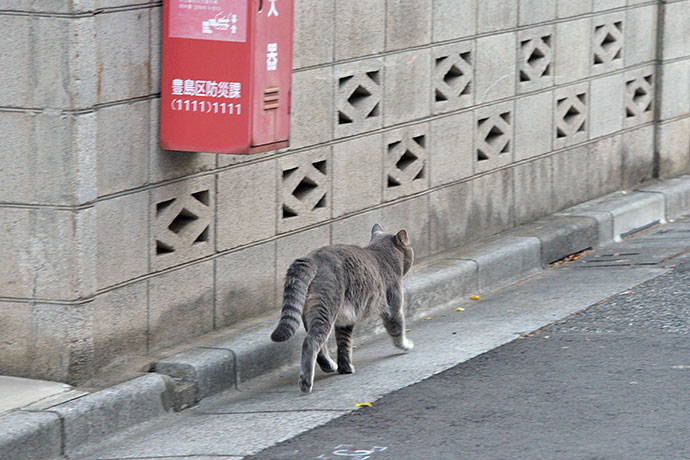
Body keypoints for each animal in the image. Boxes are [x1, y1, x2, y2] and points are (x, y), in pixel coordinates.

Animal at [270, 223, 414, 392]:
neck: (382, 254)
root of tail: (312, 257)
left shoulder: (345, 320)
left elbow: (344, 344)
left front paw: (345, 367)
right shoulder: (393, 309)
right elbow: (398, 330)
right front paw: (405, 345)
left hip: (312, 312)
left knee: (321, 346)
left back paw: (329, 365)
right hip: (326, 308)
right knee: (311, 342)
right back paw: (306, 382)